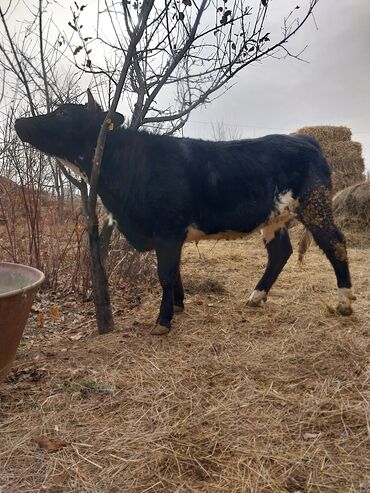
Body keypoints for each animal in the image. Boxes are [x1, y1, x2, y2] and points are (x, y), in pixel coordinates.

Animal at [14, 91, 354, 334]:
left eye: (63, 113)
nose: (19, 121)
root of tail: (306, 138)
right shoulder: (169, 236)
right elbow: (174, 271)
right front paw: (177, 306)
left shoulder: (167, 231)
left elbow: (165, 274)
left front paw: (163, 321)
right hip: (274, 216)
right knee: (280, 252)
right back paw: (256, 296)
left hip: (315, 205)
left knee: (336, 243)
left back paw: (344, 303)